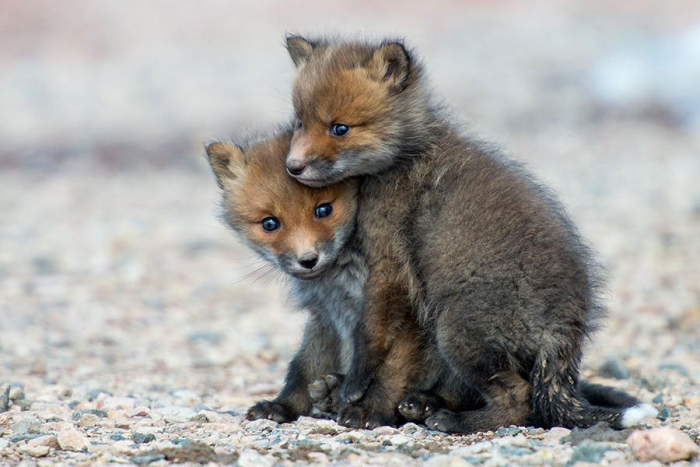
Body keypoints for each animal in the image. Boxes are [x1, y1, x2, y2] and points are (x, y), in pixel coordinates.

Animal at [281, 34, 658, 433]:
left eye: (340, 128)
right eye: (300, 122)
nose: (293, 167)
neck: (404, 155)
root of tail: (567, 327)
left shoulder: (388, 260)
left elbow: (370, 332)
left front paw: (354, 385)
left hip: (457, 331)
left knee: (518, 399)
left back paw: (453, 421)